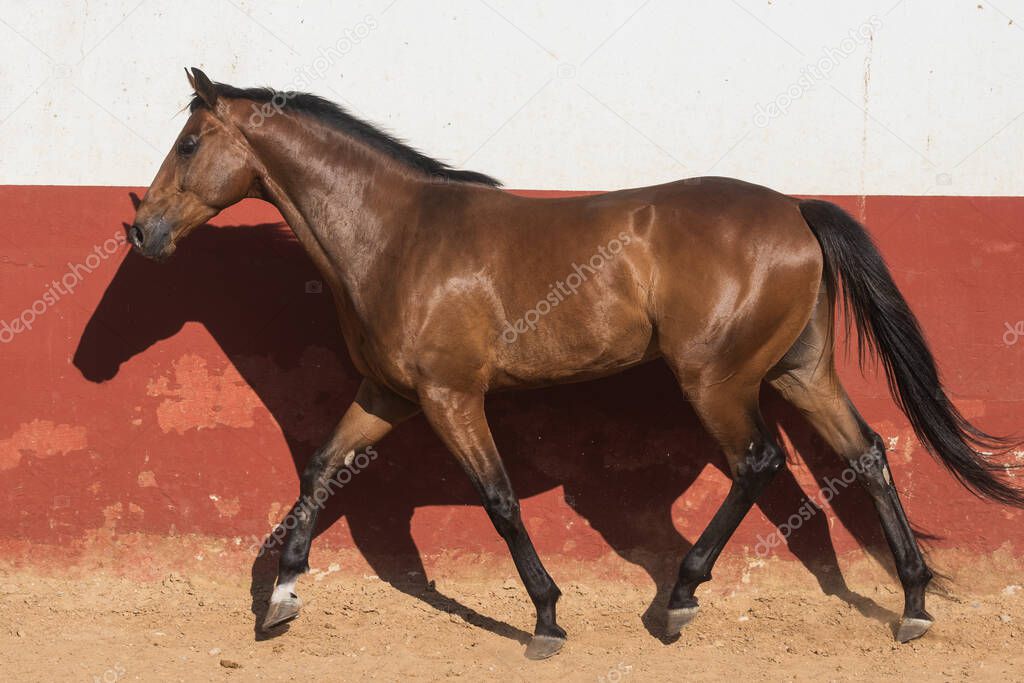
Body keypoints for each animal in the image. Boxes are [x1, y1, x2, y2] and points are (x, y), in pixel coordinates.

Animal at [128, 68, 1024, 655]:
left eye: (190, 141)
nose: (143, 232)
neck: (398, 236)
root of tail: (797, 212)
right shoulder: (387, 393)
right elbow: (320, 467)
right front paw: (280, 596)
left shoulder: (451, 396)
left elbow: (498, 499)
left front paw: (548, 618)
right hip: (801, 372)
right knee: (867, 452)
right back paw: (914, 601)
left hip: (717, 379)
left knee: (759, 461)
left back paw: (679, 599)